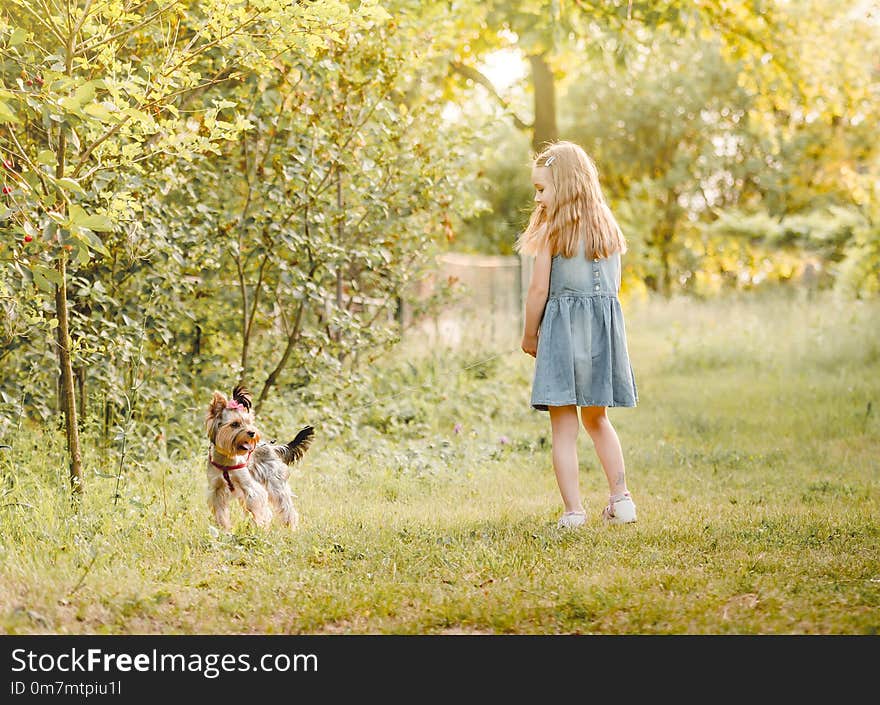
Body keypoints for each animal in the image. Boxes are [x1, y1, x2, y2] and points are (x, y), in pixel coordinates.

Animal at [205, 384, 314, 528]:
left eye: (249, 422)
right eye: (234, 424)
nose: (252, 433)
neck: (227, 457)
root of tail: (272, 448)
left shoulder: (250, 486)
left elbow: (258, 507)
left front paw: (259, 526)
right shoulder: (216, 490)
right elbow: (220, 512)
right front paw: (224, 529)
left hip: (275, 483)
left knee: (286, 506)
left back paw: (290, 526)